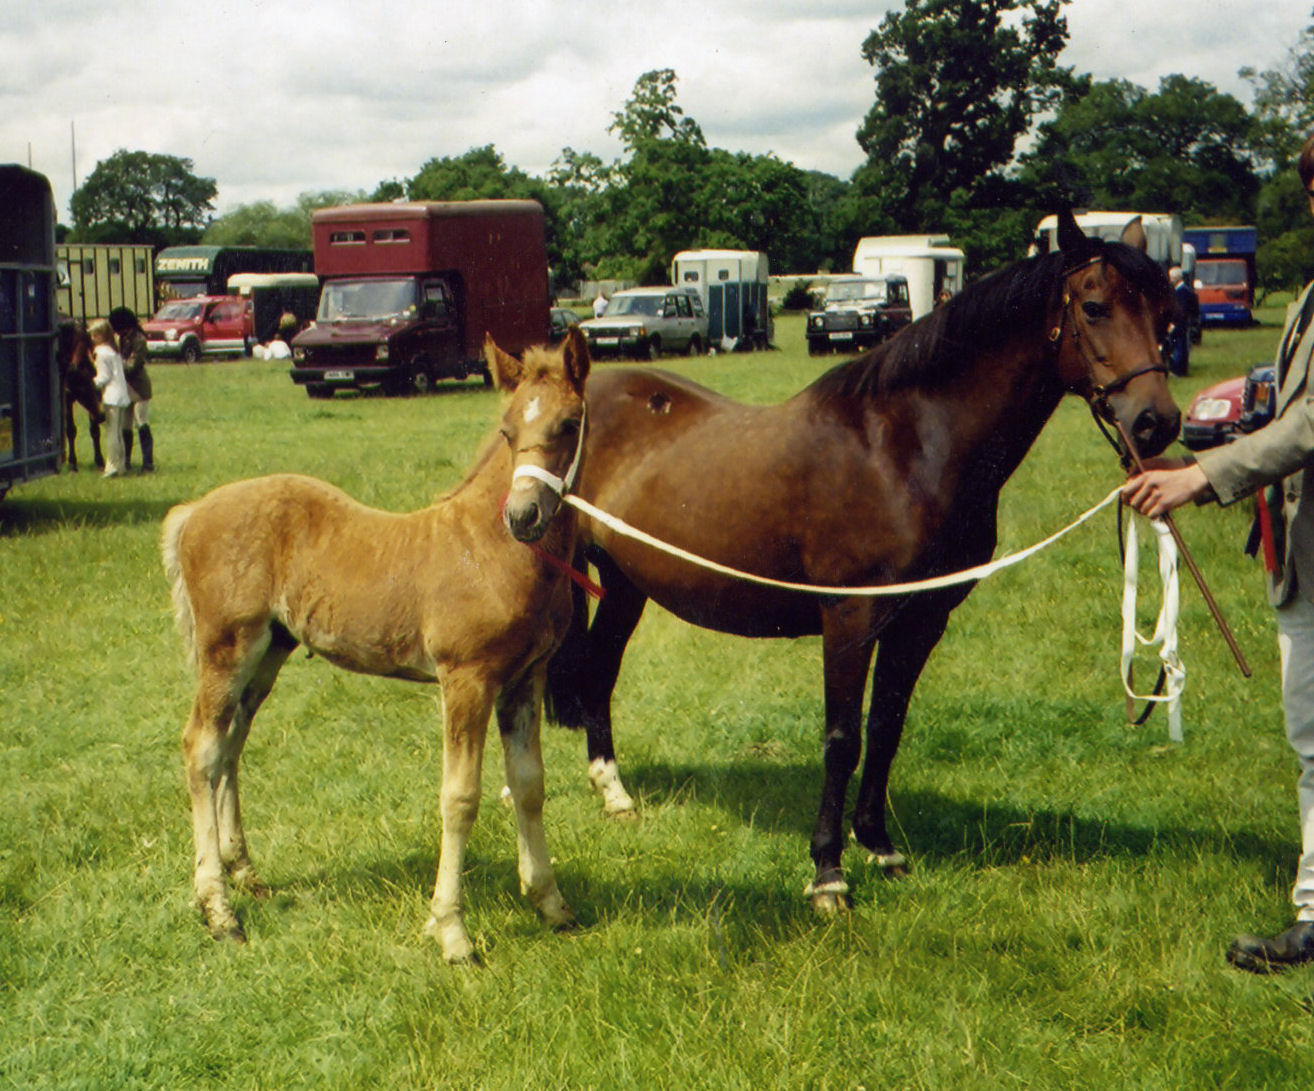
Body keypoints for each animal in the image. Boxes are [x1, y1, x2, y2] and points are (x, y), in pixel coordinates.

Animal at [543, 208, 1182, 909]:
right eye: (1094, 307)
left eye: (1166, 312)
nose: (1156, 421)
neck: (902, 449)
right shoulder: (849, 620)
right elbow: (842, 738)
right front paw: (828, 872)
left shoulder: (921, 621)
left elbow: (886, 728)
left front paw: (880, 846)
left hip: (625, 583)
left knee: (599, 672)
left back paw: (614, 794)